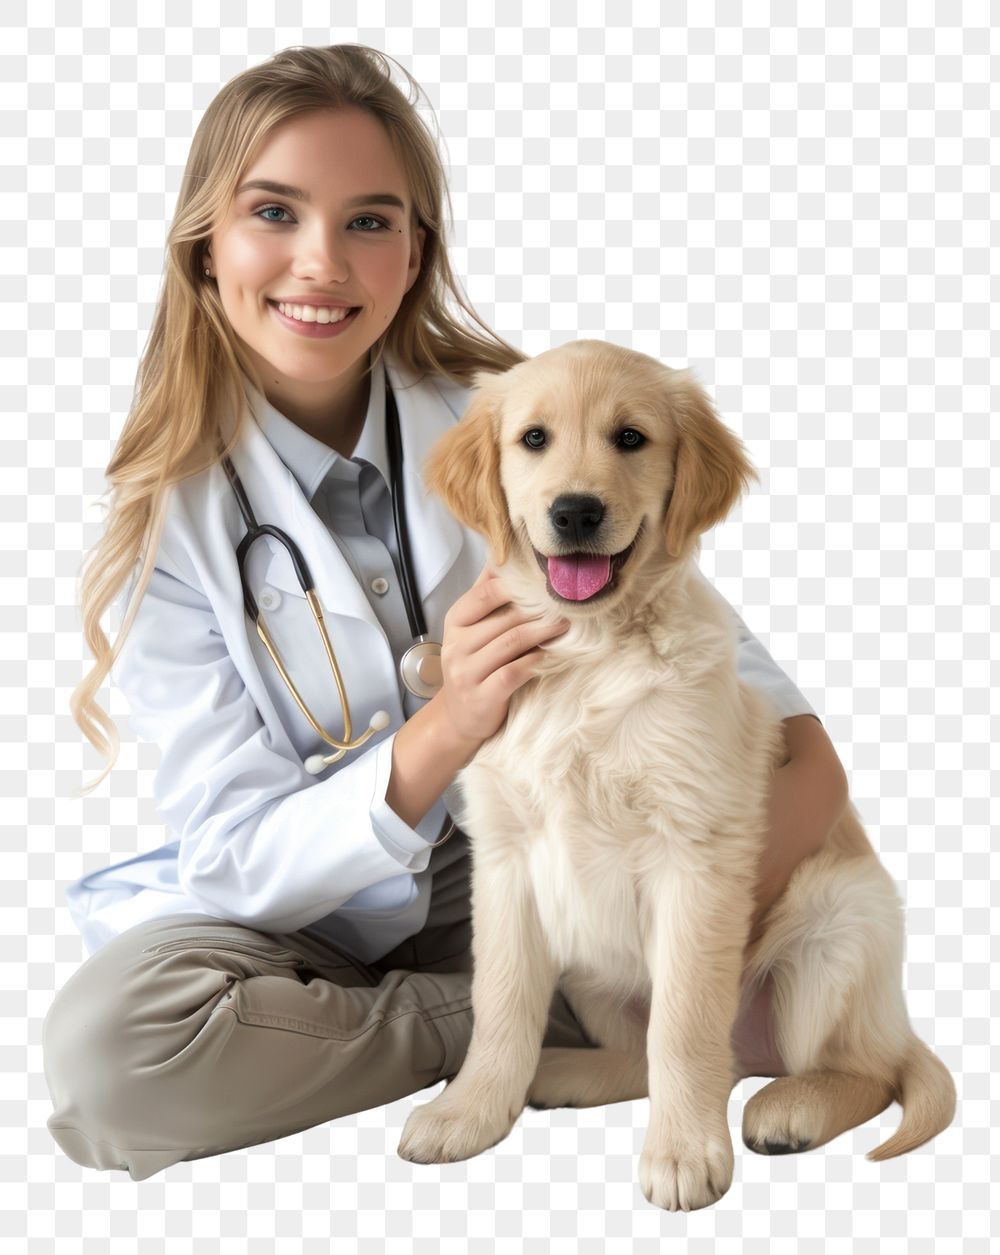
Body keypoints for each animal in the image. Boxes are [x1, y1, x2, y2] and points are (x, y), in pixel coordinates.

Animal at [396, 338, 953, 1209]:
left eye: (630, 438)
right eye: (533, 439)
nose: (576, 512)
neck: (588, 653)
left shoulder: (696, 854)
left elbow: (686, 1023)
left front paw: (686, 1152)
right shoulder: (509, 859)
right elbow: (503, 1001)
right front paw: (471, 1110)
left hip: (843, 918)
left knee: (861, 1068)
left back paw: (789, 1106)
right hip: (590, 964)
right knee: (649, 1056)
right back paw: (563, 1071)